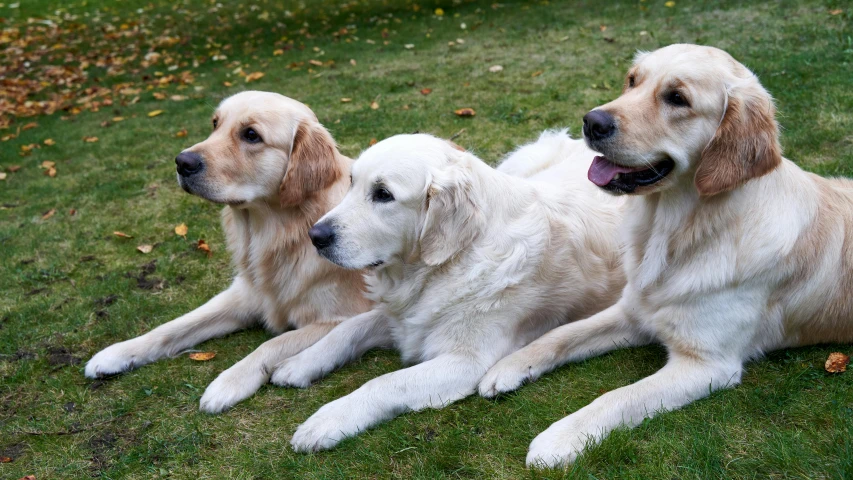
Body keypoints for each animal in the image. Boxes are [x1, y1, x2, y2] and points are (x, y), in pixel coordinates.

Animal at [84, 92, 372, 414]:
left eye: (251, 135)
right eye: (215, 123)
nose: (181, 162)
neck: (280, 234)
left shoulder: (341, 317)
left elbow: (274, 343)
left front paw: (229, 382)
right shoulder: (244, 295)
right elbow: (174, 325)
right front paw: (119, 352)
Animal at [272, 132, 624, 454]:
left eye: (383, 194)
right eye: (351, 183)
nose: (315, 236)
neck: (452, 259)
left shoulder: (466, 361)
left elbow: (386, 381)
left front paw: (327, 420)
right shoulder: (406, 318)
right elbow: (347, 329)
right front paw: (300, 362)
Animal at [476, 43, 852, 466]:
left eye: (677, 98)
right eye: (632, 80)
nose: (591, 122)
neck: (674, 232)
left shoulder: (706, 364)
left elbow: (620, 397)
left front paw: (559, 438)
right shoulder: (634, 312)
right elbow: (560, 334)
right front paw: (508, 366)